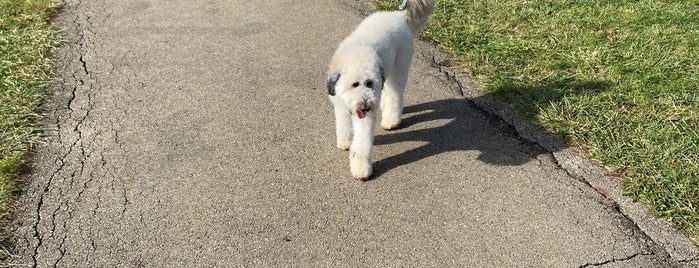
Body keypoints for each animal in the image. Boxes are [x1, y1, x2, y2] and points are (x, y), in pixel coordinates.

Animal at [326, 0, 432, 181]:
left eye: (369, 83)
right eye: (354, 84)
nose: (366, 106)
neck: (355, 53)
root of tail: (397, 15)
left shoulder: (365, 117)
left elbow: (362, 143)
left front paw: (361, 169)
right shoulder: (339, 105)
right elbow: (342, 124)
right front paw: (345, 140)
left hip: (399, 69)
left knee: (395, 95)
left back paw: (391, 119)